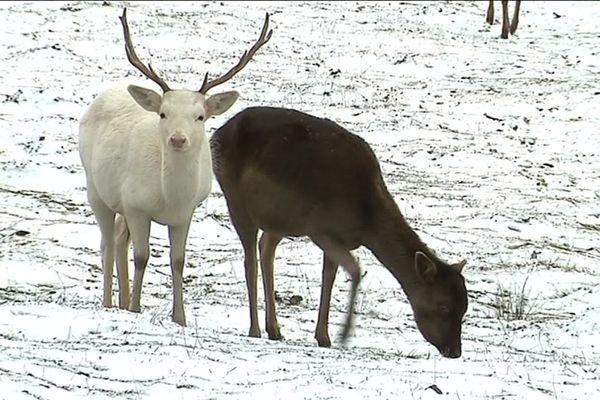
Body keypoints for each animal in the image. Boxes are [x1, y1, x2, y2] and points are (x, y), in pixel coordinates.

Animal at [78, 9, 274, 326]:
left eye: (200, 116)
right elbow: (142, 257)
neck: (169, 197)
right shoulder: (137, 206)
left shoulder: (185, 214)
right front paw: (135, 307)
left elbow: (178, 261)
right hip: (96, 189)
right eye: (163, 113)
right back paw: (109, 303)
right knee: (107, 243)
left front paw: (179, 317)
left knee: (119, 238)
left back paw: (120, 301)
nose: (178, 139)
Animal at [211, 107, 468, 360]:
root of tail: (217, 133)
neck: (367, 220)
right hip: (235, 197)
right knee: (250, 260)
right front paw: (342, 336)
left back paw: (274, 329)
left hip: (280, 219)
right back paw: (254, 329)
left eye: (464, 307)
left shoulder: (336, 239)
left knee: (265, 248)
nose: (455, 351)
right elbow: (355, 270)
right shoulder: (320, 229)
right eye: (443, 306)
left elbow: (329, 277)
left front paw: (324, 337)